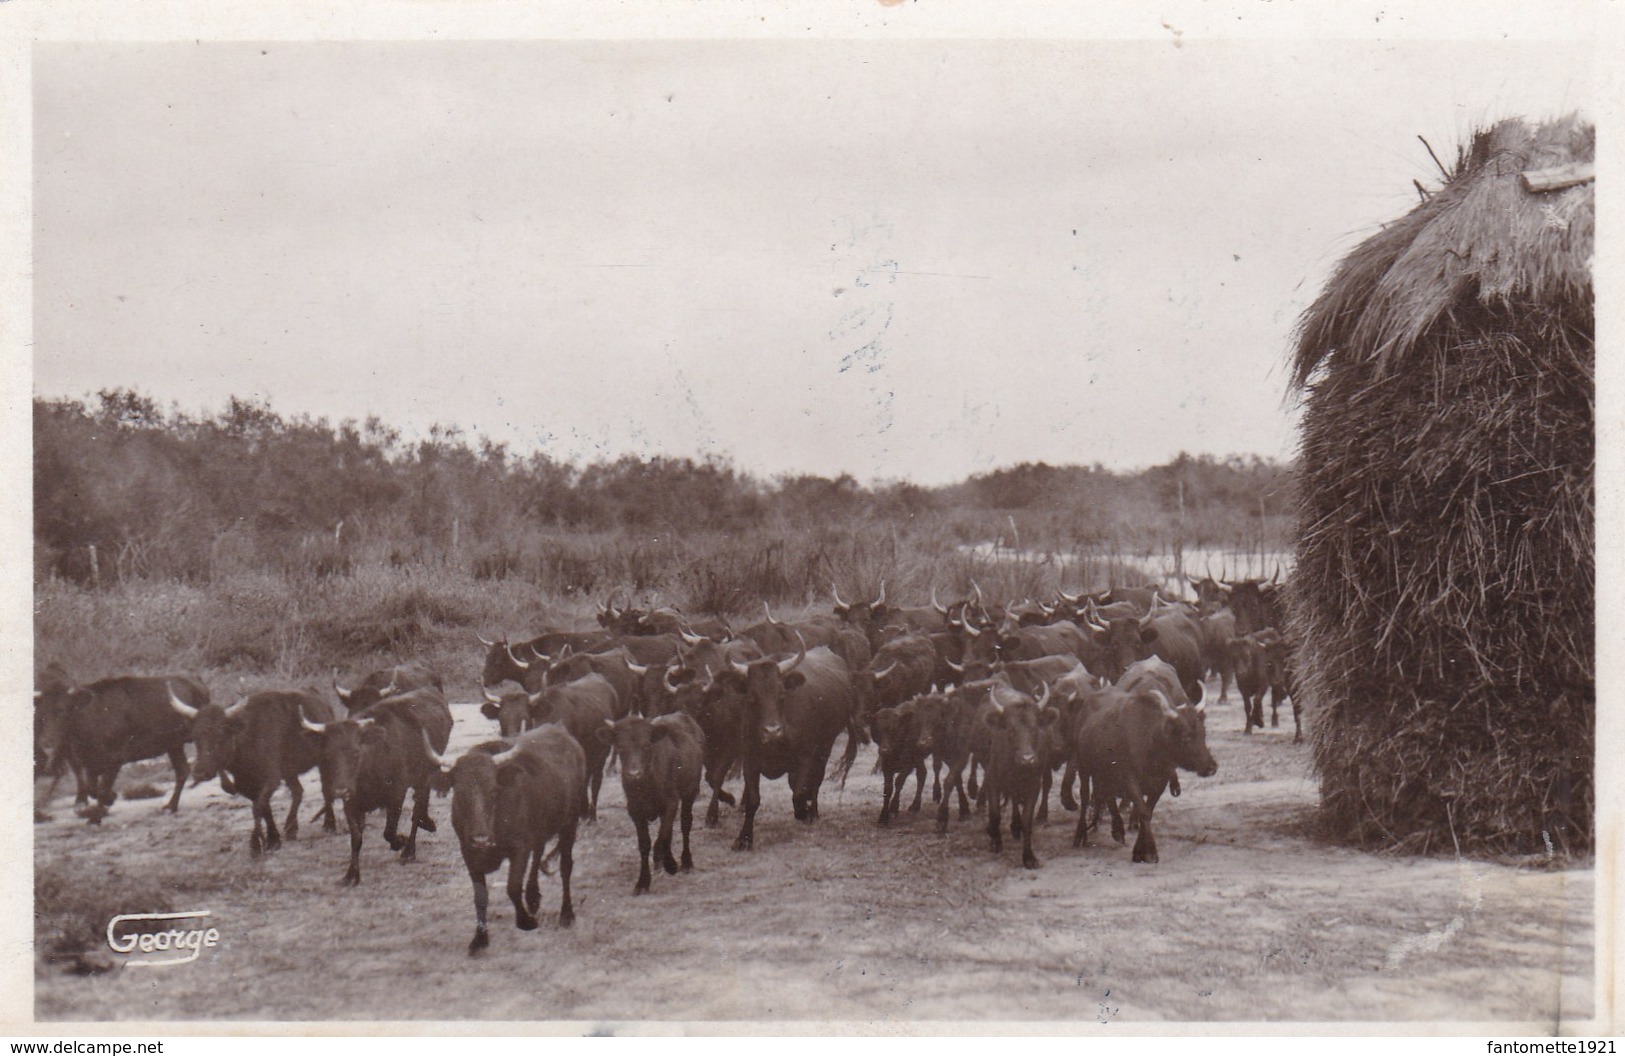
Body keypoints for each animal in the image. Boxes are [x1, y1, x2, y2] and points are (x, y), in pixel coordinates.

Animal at [435, 727, 588, 948]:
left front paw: (526, 921)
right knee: (539, 851)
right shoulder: (468, 852)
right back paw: (533, 897)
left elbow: (513, 888)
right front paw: (480, 939)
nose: (481, 839)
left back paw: (566, 914)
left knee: (565, 866)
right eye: (460, 792)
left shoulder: (519, 849)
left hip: (570, 822)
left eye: (493, 790)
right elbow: (480, 896)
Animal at [598, 708, 698, 890]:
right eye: (620, 748)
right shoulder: (634, 810)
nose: (634, 774)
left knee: (685, 824)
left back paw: (685, 862)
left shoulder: (671, 803)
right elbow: (646, 843)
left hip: (690, 792)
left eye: (646, 746)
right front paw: (643, 882)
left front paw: (669, 864)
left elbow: (662, 837)